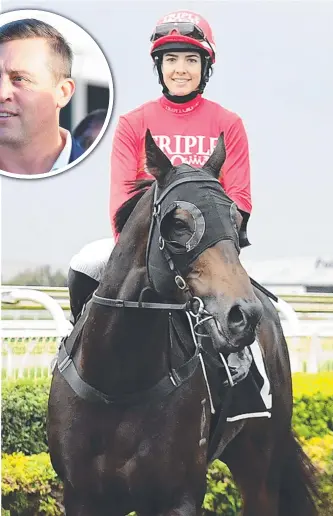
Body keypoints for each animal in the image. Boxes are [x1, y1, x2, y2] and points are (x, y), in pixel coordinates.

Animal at [47, 130, 316, 516]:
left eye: (238, 222)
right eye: (178, 224)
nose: (244, 315)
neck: (118, 384)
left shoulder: (178, 496)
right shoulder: (82, 495)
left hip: (261, 464)